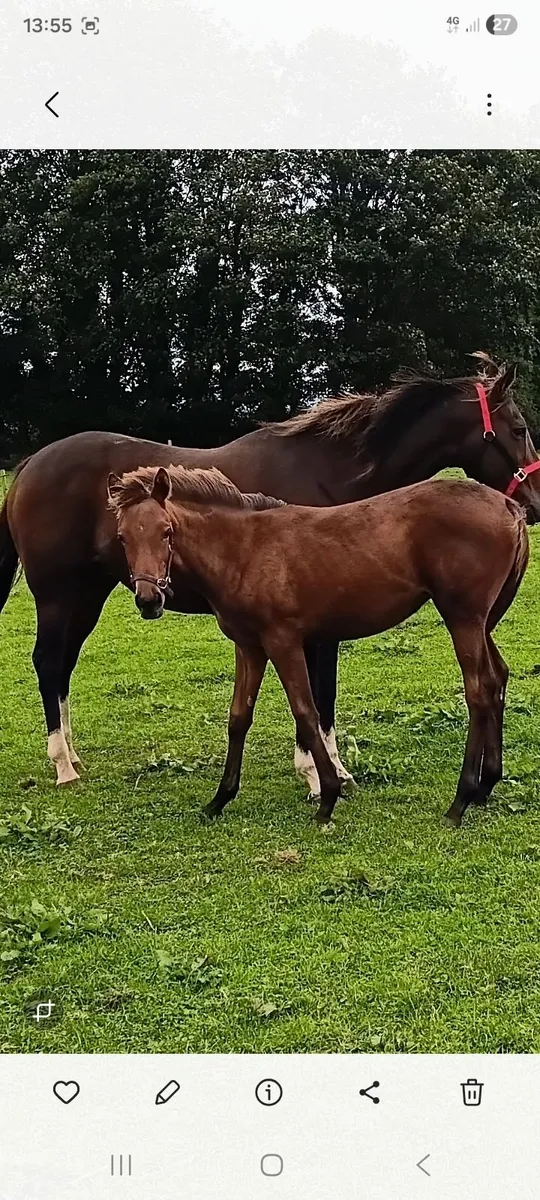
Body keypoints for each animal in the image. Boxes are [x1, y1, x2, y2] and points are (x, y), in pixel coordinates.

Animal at [1, 357, 540, 788]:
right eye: (518, 428)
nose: (533, 504)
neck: (329, 473)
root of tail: (30, 464)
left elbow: (322, 694)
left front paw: (327, 768)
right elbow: (316, 696)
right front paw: (320, 774)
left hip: (88, 594)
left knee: (63, 665)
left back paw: (73, 757)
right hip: (57, 595)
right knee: (47, 662)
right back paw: (63, 766)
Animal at [108, 464, 529, 828]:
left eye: (166, 531)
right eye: (123, 538)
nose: (149, 600)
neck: (244, 550)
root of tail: (509, 505)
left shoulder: (283, 641)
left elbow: (306, 712)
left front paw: (327, 797)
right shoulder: (249, 646)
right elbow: (239, 718)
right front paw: (219, 799)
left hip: (463, 617)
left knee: (478, 691)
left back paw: (460, 800)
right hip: (483, 621)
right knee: (497, 679)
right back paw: (486, 785)